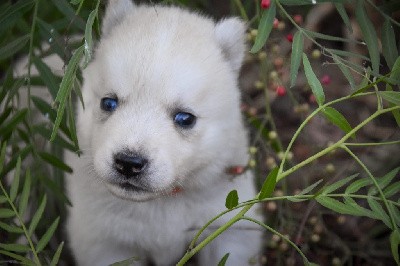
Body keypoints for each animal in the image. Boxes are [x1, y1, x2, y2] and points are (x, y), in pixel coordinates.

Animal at [65, 1, 262, 264]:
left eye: (185, 118)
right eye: (108, 103)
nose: (128, 163)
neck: (163, 202)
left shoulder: (229, 228)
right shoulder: (105, 242)